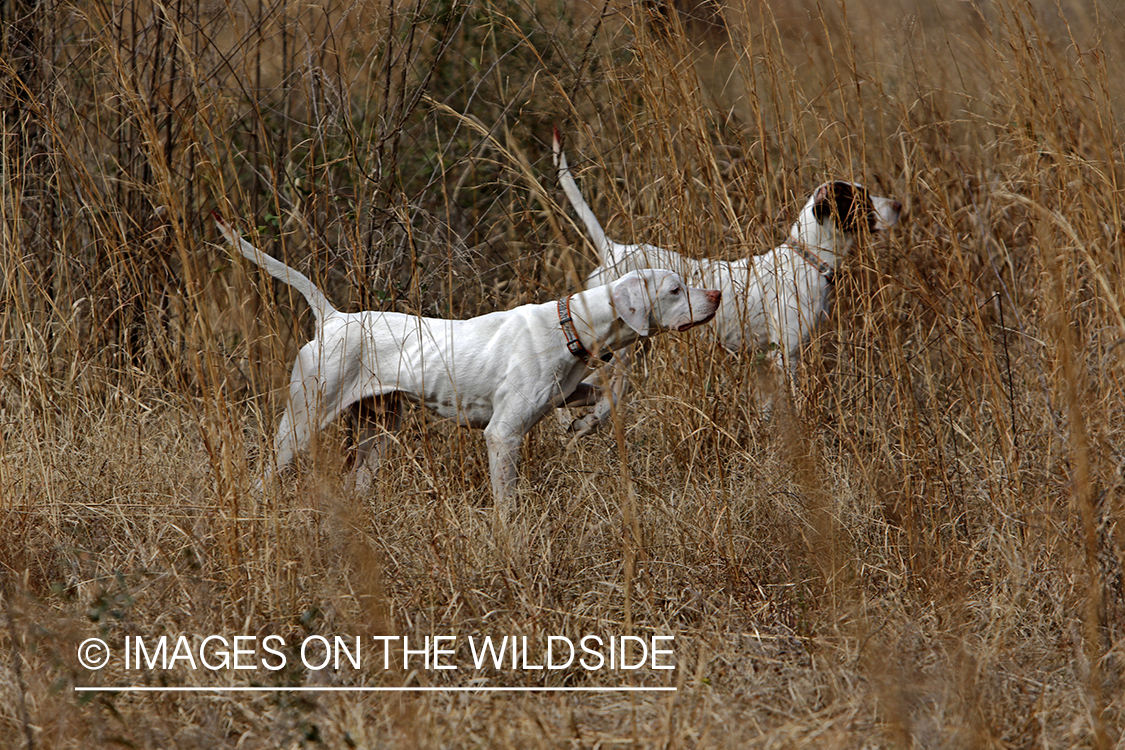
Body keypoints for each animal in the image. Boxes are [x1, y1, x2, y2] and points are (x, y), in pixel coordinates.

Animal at [211, 213, 720, 501]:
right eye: (675, 290)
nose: (715, 295)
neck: (569, 326)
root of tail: (334, 317)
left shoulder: (563, 391)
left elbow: (609, 393)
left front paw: (585, 423)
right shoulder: (502, 434)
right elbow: (506, 502)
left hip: (378, 429)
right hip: (302, 423)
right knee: (263, 478)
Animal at [553, 129, 904, 427]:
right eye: (861, 200)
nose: (900, 204)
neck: (807, 258)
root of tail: (613, 248)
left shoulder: (766, 360)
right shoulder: (785, 355)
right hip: (618, 351)